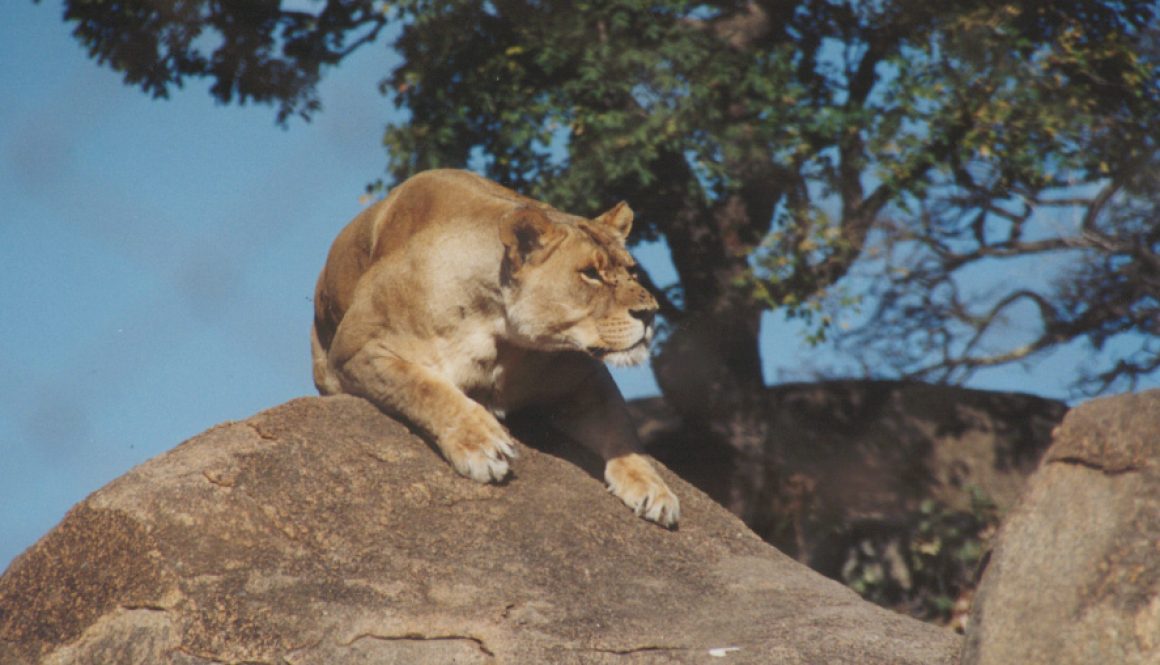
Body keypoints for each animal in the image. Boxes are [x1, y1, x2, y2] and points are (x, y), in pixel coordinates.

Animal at [313, 168, 682, 526]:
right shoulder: (354, 350)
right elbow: (423, 386)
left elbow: (622, 432)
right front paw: (481, 445)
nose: (650, 313)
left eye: (632, 271)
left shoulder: (587, 379)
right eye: (590, 273)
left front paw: (653, 488)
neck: (500, 336)